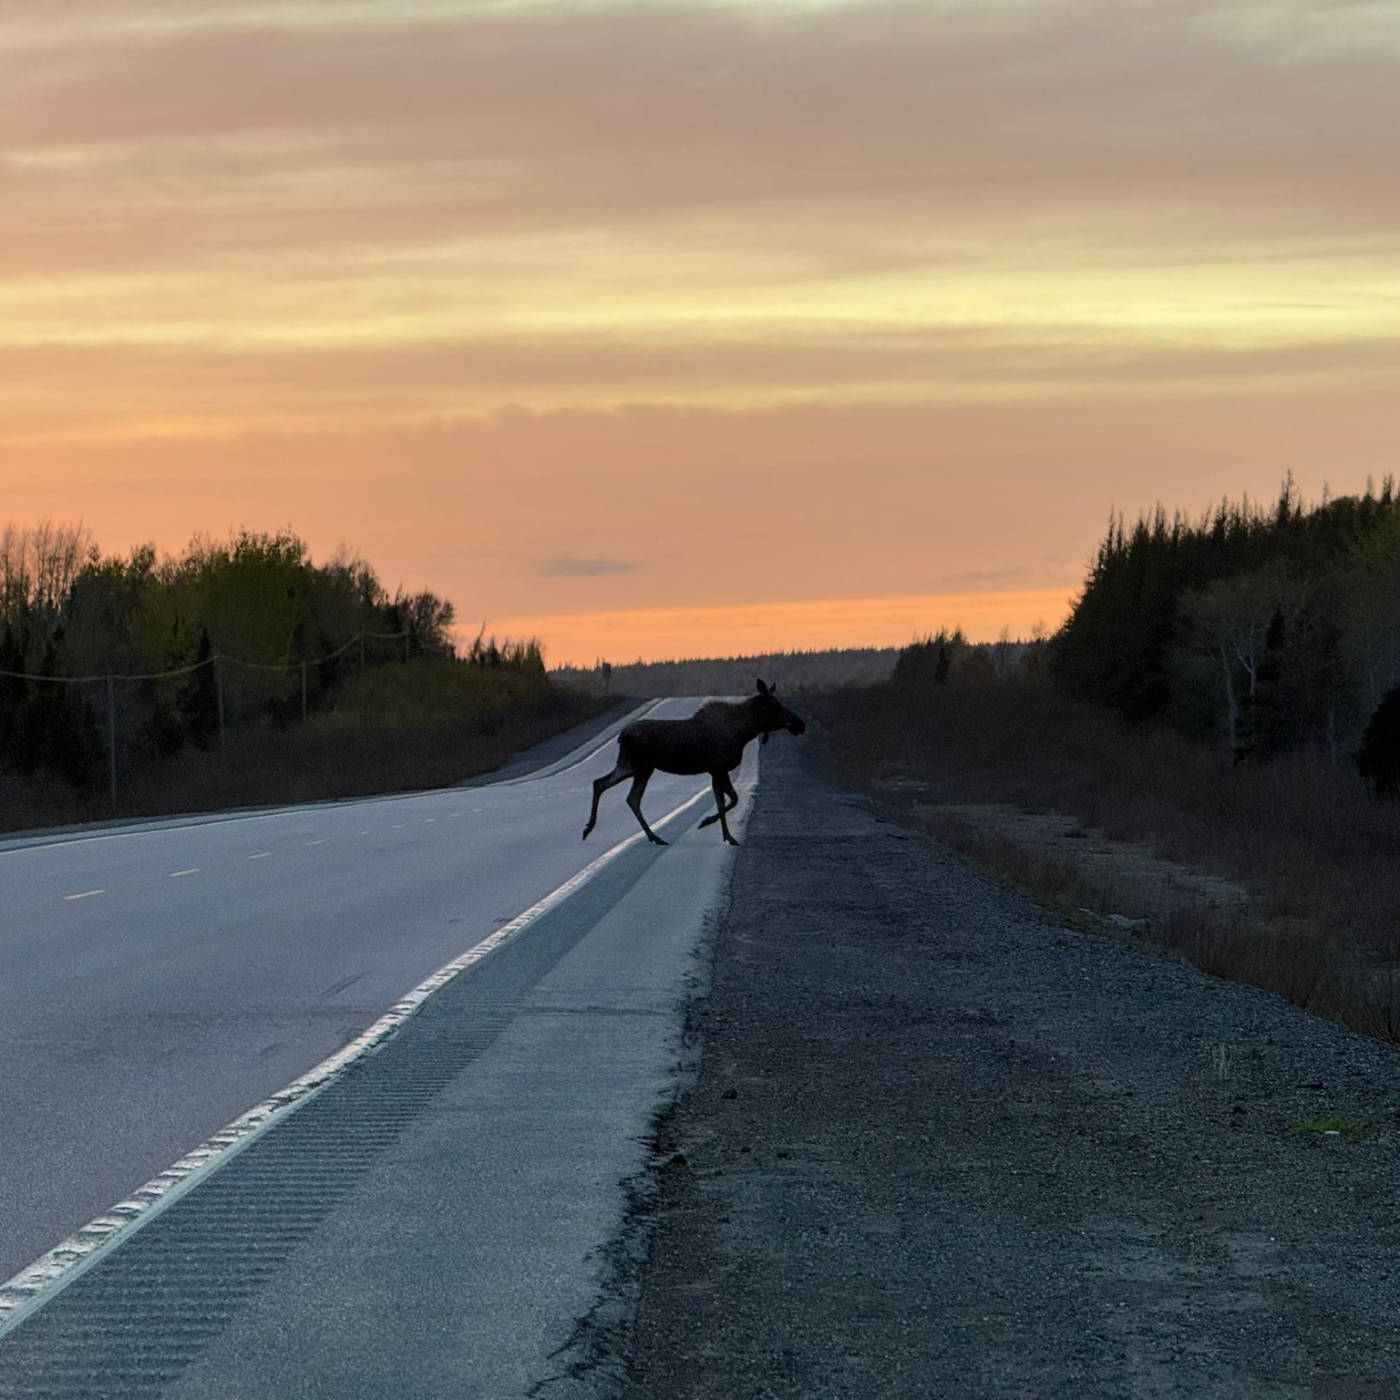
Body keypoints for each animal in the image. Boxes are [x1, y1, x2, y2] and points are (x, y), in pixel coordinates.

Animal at [581, 680, 806, 847]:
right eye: (776, 706)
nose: (800, 724)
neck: (744, 732)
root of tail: (621, 736)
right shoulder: (718, 769)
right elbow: (727, 800)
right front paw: (719, 830)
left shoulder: (717, 771)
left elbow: (731, 799)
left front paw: (718, 829)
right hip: (640, 766)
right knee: (623, 793)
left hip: (633, 766)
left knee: (609, 787)